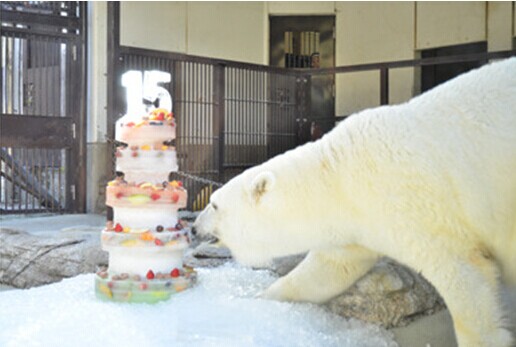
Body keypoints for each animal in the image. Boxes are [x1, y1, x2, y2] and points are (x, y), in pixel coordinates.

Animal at [195, 57, 516, 347]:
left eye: (214, 204)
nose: (195, 227)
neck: (340, 175)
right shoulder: (355, 222)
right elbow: (327, 269)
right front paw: (258, 300)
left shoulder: (421, 211)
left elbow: (464, 276)